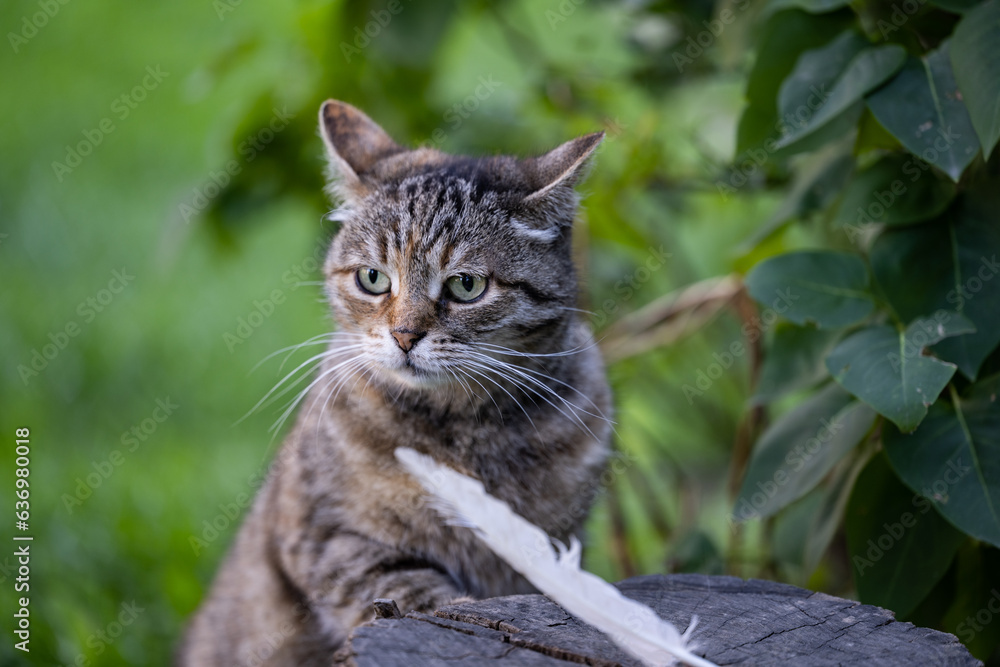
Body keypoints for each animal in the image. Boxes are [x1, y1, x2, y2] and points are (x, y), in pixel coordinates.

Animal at [181, 100, 616, 667]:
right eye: (372, 278)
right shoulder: (329, 539)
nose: (405, 335)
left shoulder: (557, 548)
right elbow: (417, 596)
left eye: (466, 285)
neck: (463, 431)